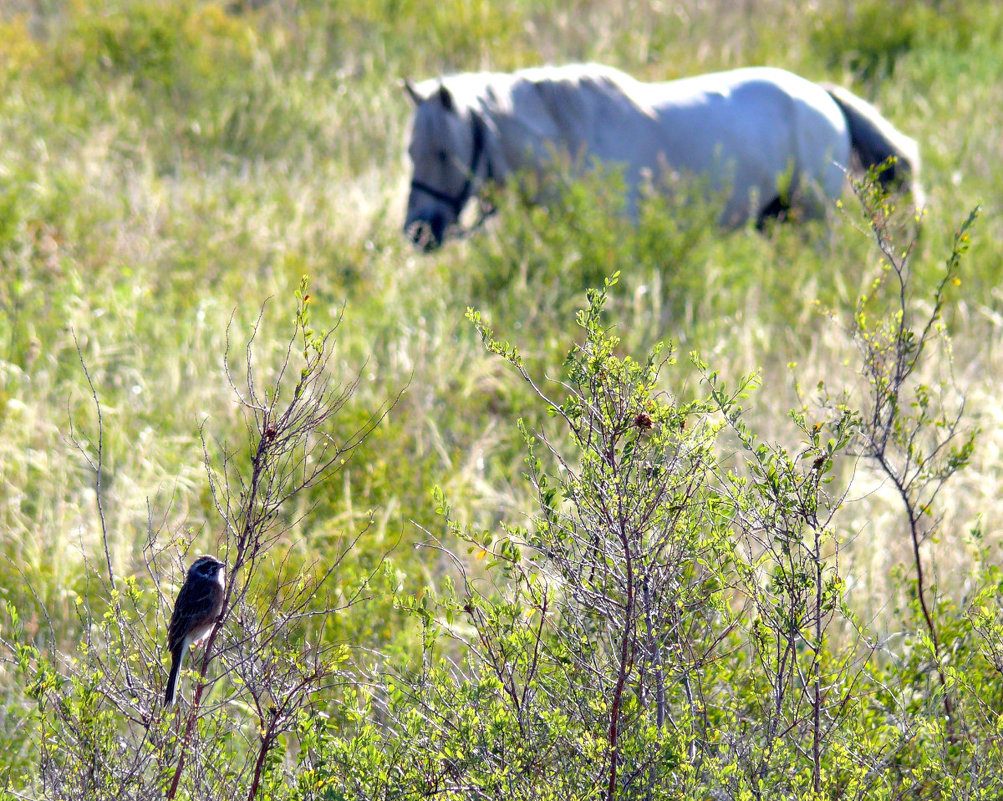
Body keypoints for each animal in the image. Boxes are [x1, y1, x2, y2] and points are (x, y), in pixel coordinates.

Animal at [403, 62, 918, 248]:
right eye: (411, 151)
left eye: (444, 154)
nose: (417, 232)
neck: (571, 138)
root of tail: (821, 94)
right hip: (776, 220)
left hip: (811, 219)